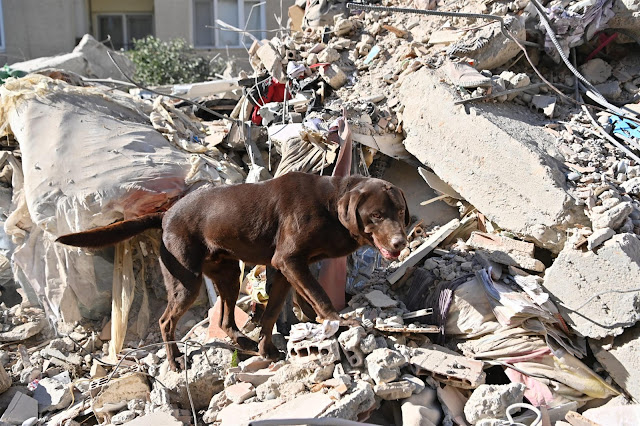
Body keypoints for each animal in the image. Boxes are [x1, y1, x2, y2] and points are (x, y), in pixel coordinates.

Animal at [57, 171, 408, 368]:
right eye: (376, 215)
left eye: (400, 212)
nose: (400, 243)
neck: (330, 205)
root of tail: (165, 215)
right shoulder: (288, 261)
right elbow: (318, 296)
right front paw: (337, 320)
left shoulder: (285, 269)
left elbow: (274, 311)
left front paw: (269, 349)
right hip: (186, 281)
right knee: (166, 320)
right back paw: (175, 360)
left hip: (226, 275)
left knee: (225, 319)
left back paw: (245, 344)